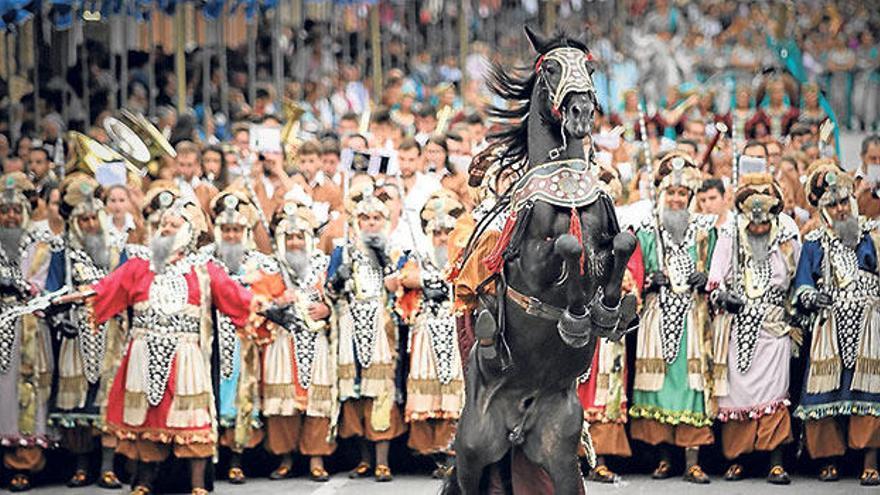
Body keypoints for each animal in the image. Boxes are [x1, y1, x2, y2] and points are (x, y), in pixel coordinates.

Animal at [444, 28, 636, 495]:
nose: (581, 112)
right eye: (550, 67)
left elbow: (621, 243)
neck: (566, 195)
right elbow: (567, 247)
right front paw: (577, 318)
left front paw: (608, 312)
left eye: (589, 67)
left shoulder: (608, 237)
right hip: (472, 449)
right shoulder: (529, 262)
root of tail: (517, 424)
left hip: (559, 454)